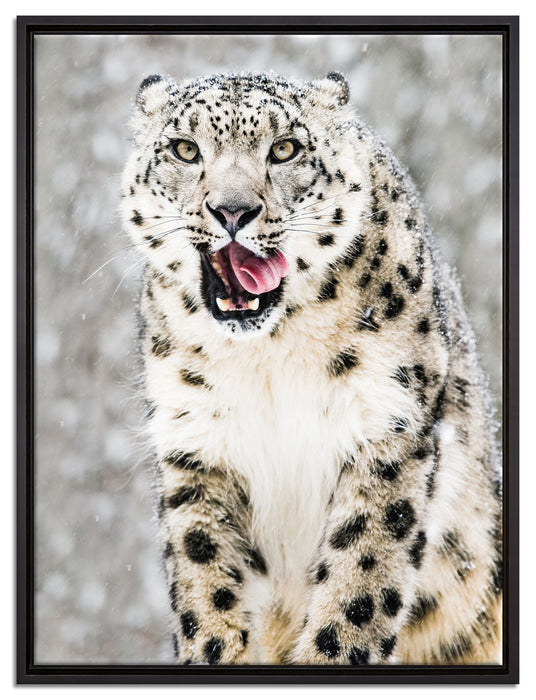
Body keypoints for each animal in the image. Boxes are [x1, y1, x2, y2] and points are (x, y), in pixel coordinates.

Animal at [121, 71, 502, 666]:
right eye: (184, 149)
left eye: (285, 149)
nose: (232, 211)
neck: (268, 359)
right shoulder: (198, 446)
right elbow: (207, 585)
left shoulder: (386, 428)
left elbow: (359, 582)